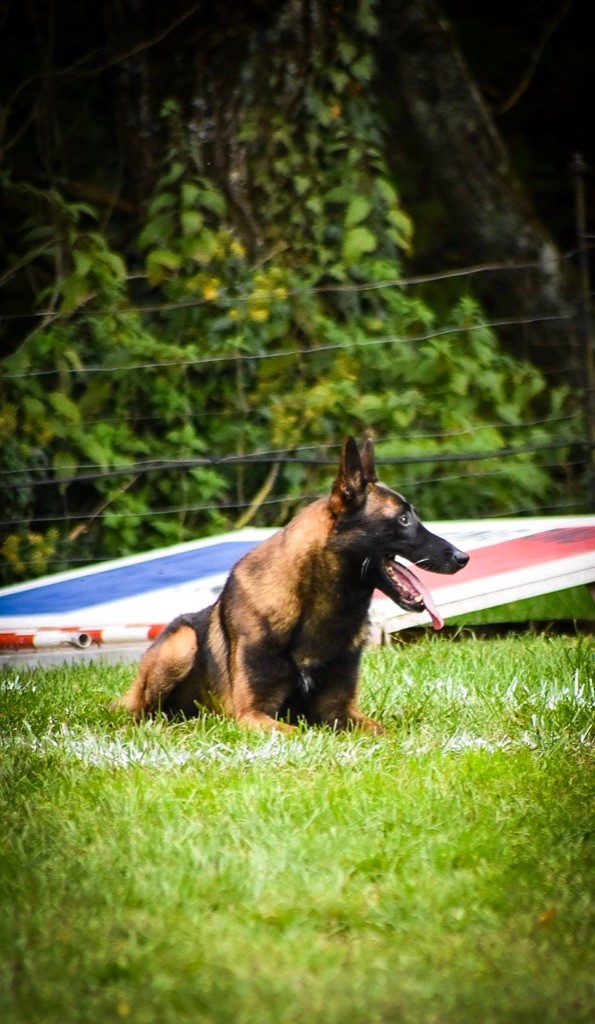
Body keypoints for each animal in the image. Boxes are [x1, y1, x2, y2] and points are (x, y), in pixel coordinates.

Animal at [114, 436, 469, 733]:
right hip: (182, 643)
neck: (320, 608)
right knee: (143, 712)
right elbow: (298, 734)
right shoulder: (251, 714)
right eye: (404, 520)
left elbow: (385, 732)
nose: (462, 557)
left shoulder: (340, 711)